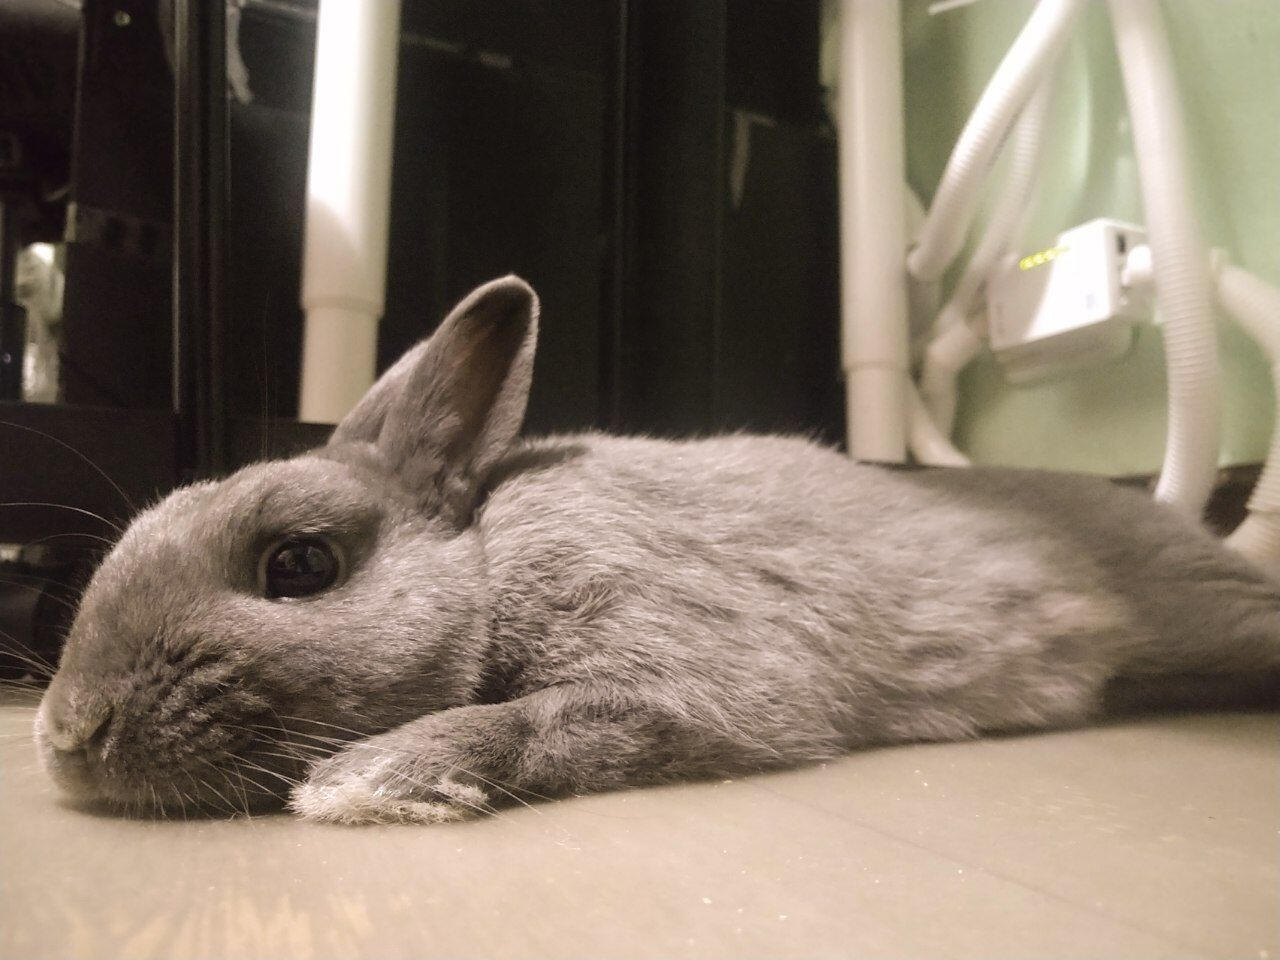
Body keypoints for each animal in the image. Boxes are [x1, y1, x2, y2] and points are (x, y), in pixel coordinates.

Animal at [30, 277, 1280, 829]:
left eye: (299, 565)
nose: (65, 738)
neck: (487, 561)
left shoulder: (685, 673)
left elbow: (541, 720)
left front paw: (362, 782)